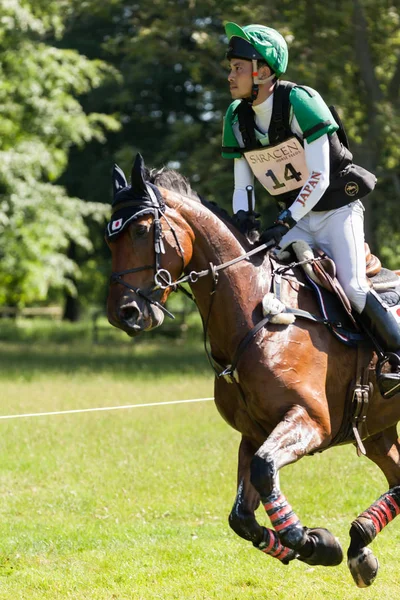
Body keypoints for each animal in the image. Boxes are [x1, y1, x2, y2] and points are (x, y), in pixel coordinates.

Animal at [105, 152, 400, 588]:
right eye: (110, 240)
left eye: (142, 231)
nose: (122, 314)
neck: (254, 312)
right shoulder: (254, 432)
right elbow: (241, 516)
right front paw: (311, 544)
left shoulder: (311, 421)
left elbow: (264, 470)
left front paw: (314, 542)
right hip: (377, 428)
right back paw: (361, 541)